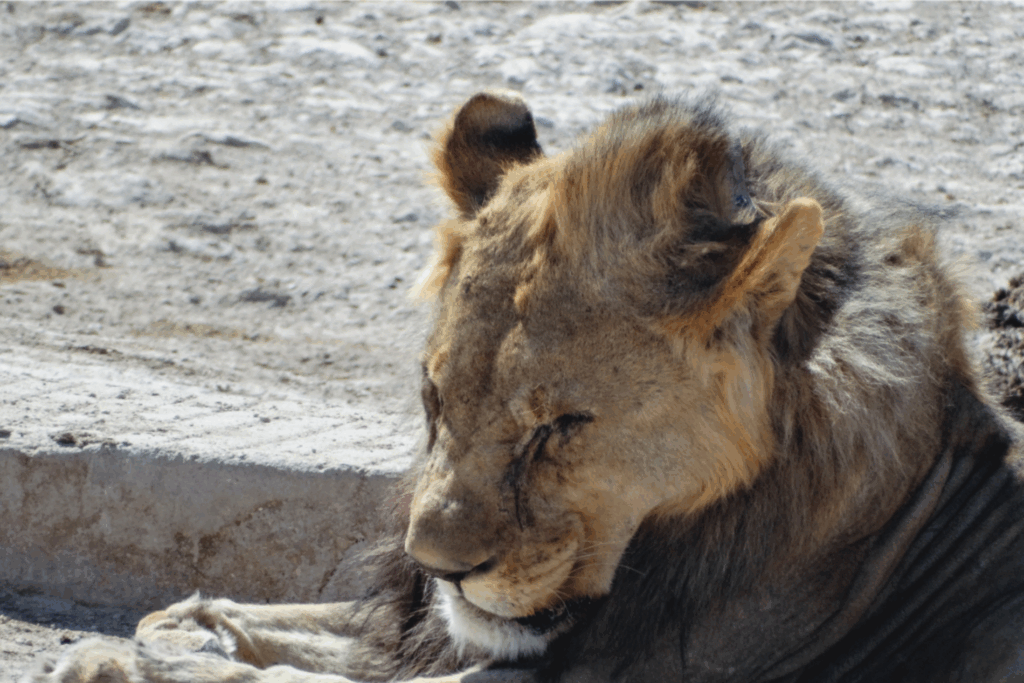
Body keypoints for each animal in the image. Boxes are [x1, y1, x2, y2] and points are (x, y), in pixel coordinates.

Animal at [28, 92, 1024, 683]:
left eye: (562, 426)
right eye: (434, 402)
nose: (440, 567)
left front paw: (127, 663)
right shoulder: (430, 632)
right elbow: (226, 618)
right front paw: (175, 632)